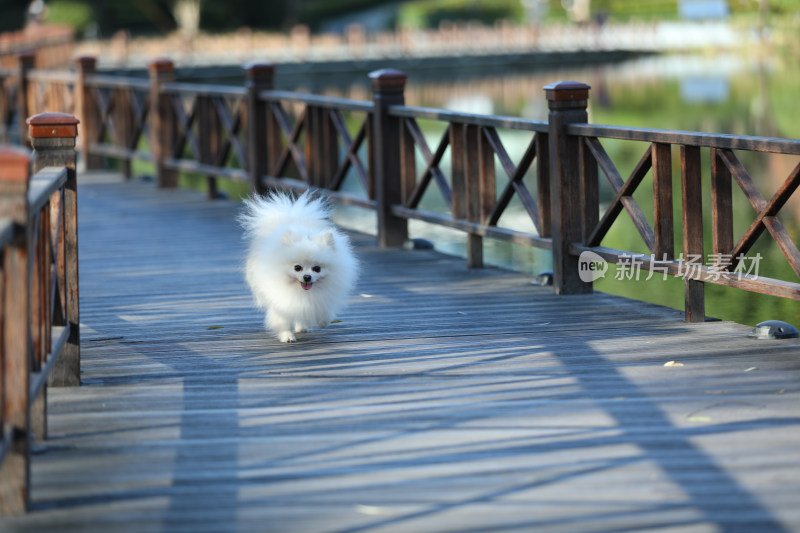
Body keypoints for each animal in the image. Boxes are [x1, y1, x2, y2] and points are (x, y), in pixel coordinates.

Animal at [238, 191, 360, 340]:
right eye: (297, 268)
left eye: (317, 269)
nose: (307, 277)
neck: (302, 292)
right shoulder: (282, 301)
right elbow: (283, 320)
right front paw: (287, 336)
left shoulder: (323, 297)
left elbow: (322, 311)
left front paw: (322, 321)